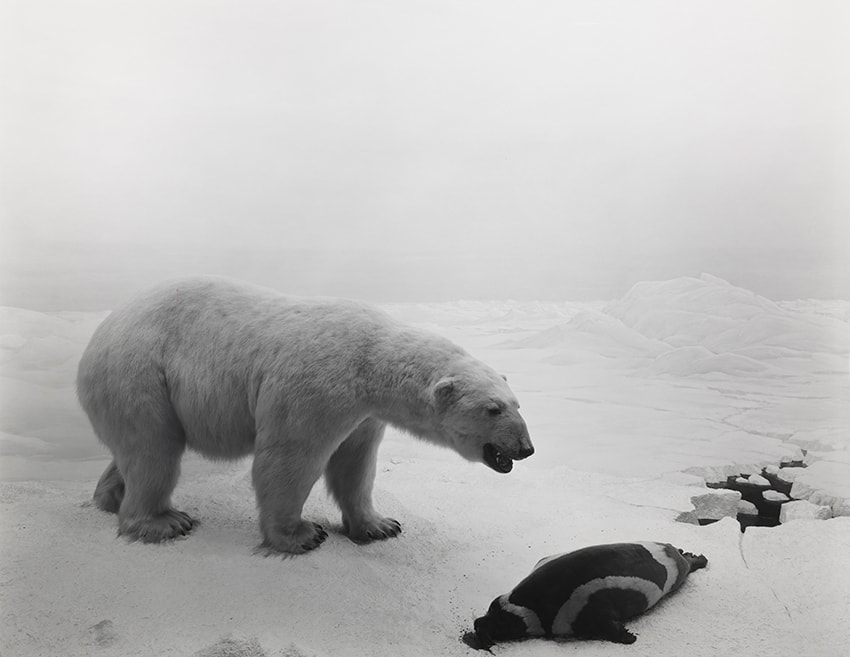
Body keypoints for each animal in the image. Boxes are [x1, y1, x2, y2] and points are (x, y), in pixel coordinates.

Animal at [78, 276, 528, 552]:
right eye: (492, 409)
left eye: (516, 403)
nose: (526, 448)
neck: (371, 361)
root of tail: (98, 335)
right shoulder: (318, 387)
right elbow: (290, 457)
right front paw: (300, 535)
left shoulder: (364, 414)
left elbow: (355, 464)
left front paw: (380, 525)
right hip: (140, 375)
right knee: (154, 450)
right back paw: (163, 521)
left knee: (137, 450)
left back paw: (109, 497)